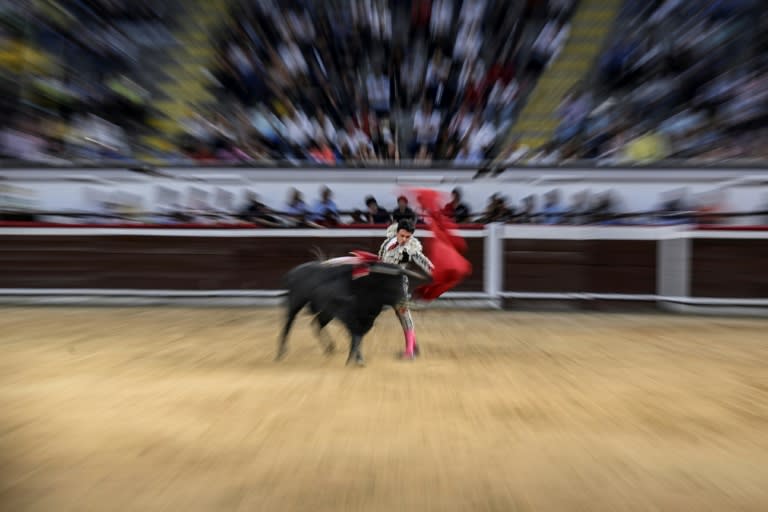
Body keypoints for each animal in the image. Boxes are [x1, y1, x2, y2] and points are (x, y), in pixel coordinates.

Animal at [276, 260, 432, 364]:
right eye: (390, 284)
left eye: (404, 284)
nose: (404, 301)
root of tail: (293, 272)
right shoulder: (349, 317)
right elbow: (356, 336)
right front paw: (356, 359)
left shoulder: (366, 319)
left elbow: (358, 337)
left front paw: (356, 358)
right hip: (296, 303)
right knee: (288, 325)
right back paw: (281, 353)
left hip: (326, 311)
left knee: (317, 324)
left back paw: (330, 348)